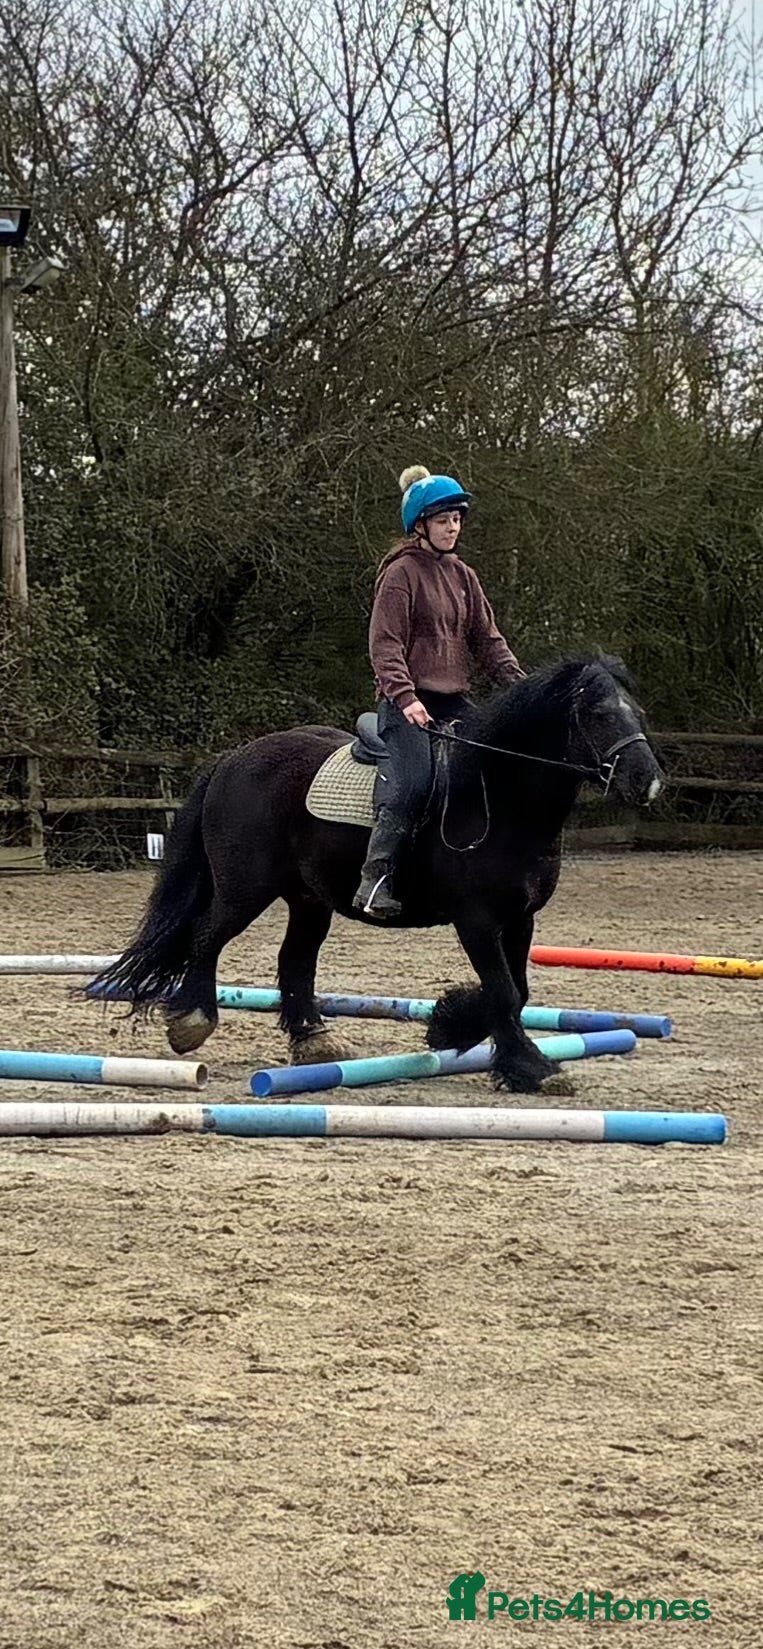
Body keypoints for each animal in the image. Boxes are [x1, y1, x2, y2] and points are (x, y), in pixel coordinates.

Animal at [87, 656, 663, 1095]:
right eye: (596, 712)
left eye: (636, 711)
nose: (649, 781)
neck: (497, 797)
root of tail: (234, 758)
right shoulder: (476, 920)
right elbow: (502, 991)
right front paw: (531, 1068)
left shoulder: (520, 919)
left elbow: (516, 990)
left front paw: (451, 1024)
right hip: (244, 889)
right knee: (207, 937)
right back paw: (192, 1022)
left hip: (308, 898)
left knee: (294, 958)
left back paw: (314, 1040)